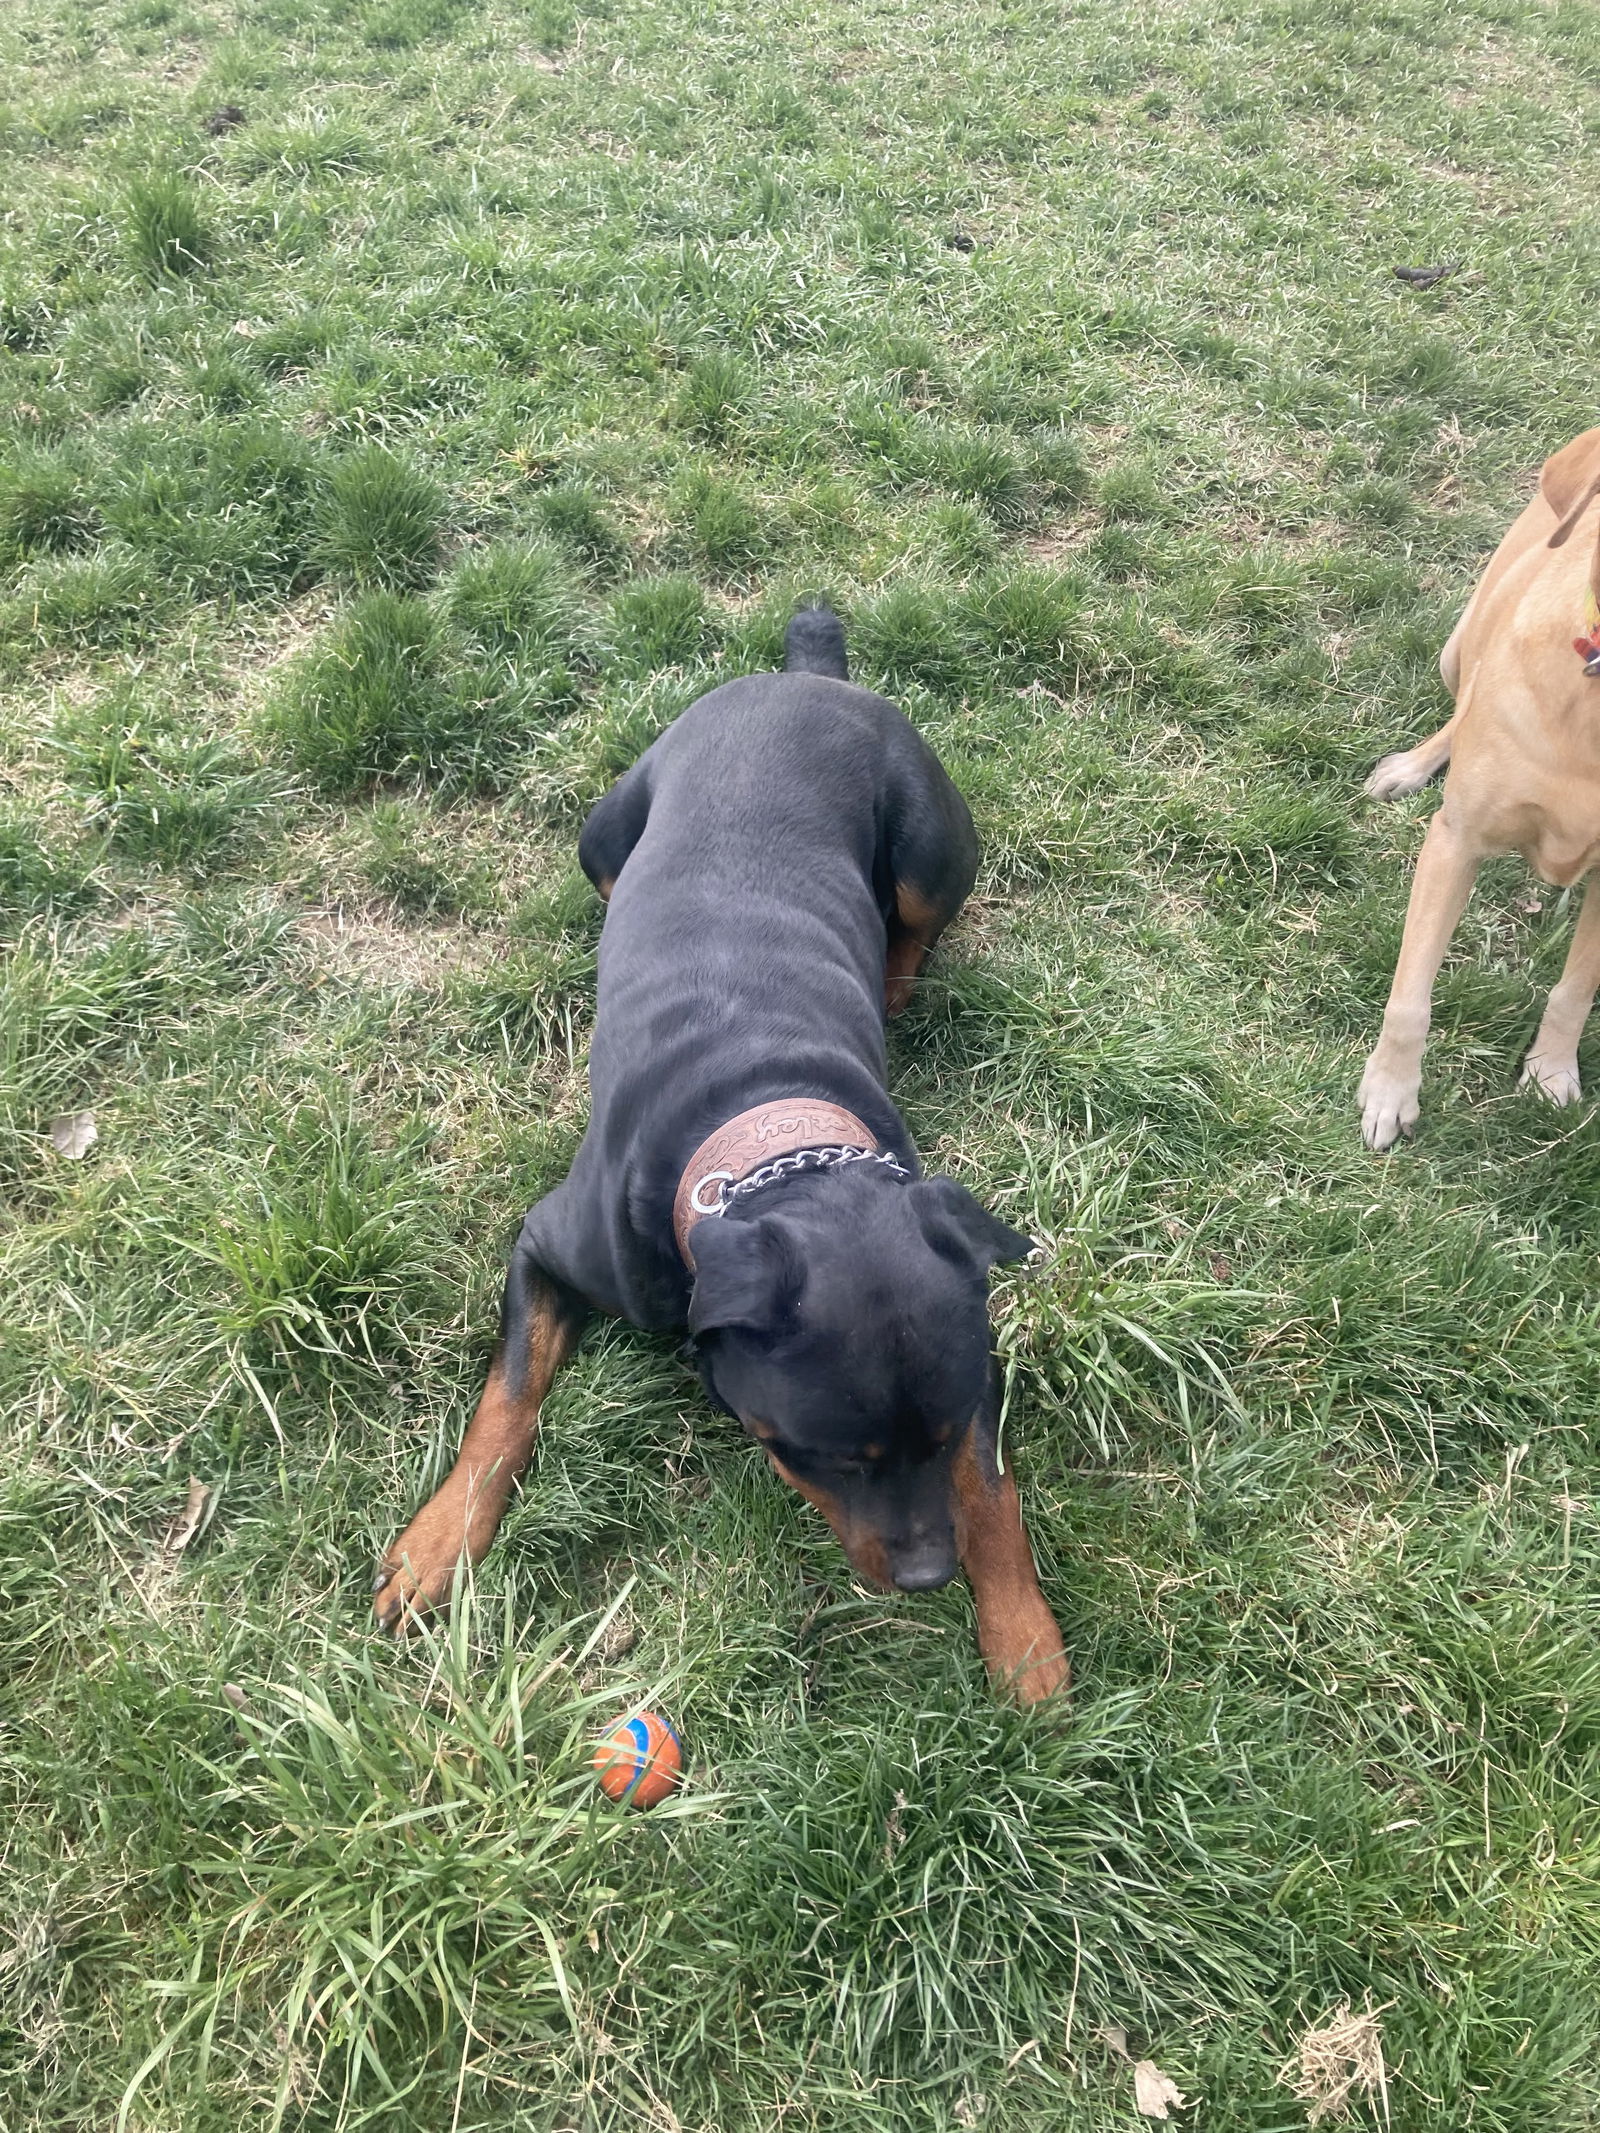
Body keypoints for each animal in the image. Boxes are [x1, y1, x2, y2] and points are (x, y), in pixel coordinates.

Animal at [375, 605, 1070, 1697]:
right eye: (830, 1455)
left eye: (943, 1428)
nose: (927, 1576)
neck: (771, 1134)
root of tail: (809, 674)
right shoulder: (543, 1243)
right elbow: (507, 1398)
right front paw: (437, 1545)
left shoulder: (976, 1356)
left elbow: (992, 1489)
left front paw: (1023, 1636)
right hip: (602, 834)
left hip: (927, 851)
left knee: (916, 919)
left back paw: (893, 982)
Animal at [1356, 430, 1600, 1151]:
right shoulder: (1455, 841)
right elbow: (1410, 997)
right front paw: (1390, 1092)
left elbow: (1574, 990)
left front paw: (1552, 1073)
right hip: (1458, 646)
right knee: (1461, 704)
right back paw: (1410, 765)